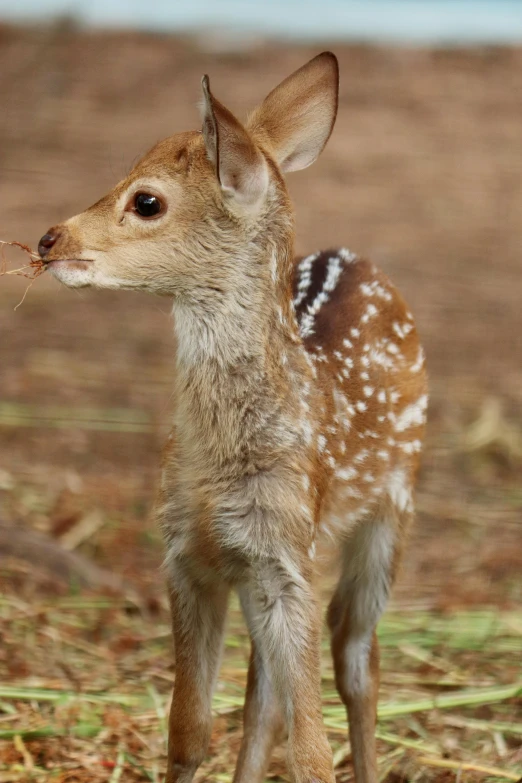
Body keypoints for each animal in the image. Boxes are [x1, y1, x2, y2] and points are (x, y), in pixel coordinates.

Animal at [38, 53, 424, 783]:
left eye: (147, 201)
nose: (49, 238)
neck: (222, 462)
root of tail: (366, 263)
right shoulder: (187, 552)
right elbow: (190, 727)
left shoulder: (287, 550)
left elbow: (311, 750)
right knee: (263, 693)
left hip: (394, 502)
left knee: (356, 653)